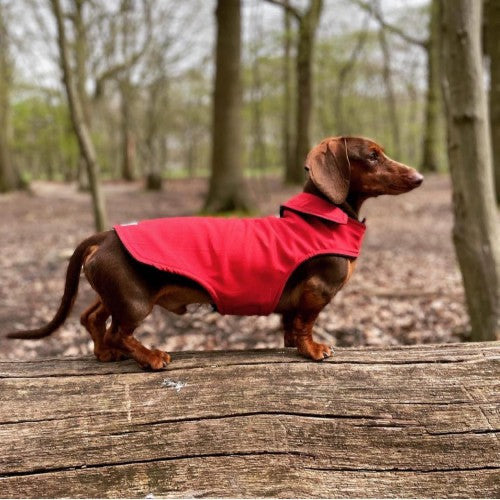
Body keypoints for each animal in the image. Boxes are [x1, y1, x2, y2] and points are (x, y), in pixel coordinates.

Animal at [6, 137, 422, 372]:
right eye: (373, 155)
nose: (419, 177)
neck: (321, 216)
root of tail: (107, 234)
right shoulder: (317, 290)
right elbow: (305, 324)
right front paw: (312, 349)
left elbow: (290, 323)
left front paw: (291, 343)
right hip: (135, 302)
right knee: (119, 331)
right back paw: (150, 357)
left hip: (116, 293)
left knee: (91, 318)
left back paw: (104, 353)